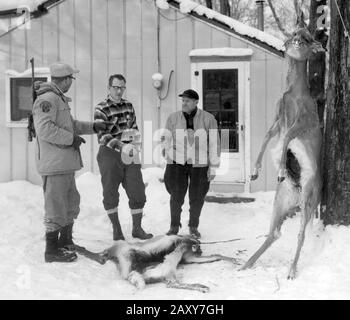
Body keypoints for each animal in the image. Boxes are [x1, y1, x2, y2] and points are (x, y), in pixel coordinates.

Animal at [241, 11, 326, 280]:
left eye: (308, 37)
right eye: (295, 32)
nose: (296, 41)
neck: (294, 95)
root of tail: (297, 195)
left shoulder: (305, 122)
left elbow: (287, 137)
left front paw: (278, 170)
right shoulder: (278, 119)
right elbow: (267, 136)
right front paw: (254, 171)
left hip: (309, 198)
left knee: (300, 233)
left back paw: (291, 270)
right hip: (280, 202)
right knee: (274, 233)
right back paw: (245, 264)